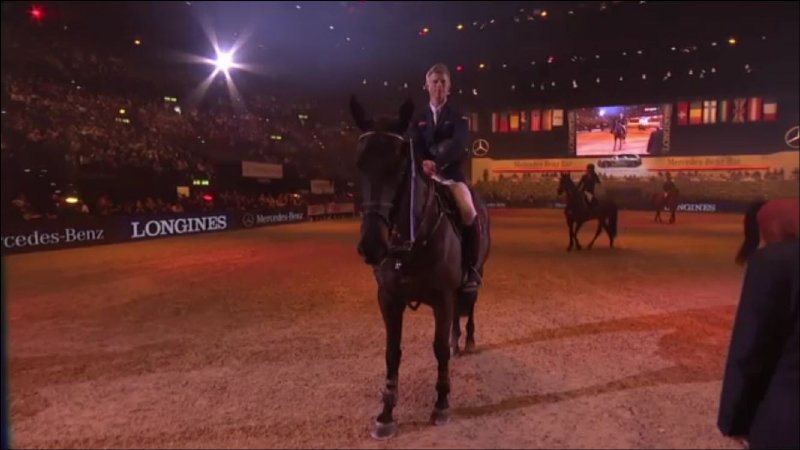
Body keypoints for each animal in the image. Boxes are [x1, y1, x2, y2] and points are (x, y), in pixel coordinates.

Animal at [350, 96, 488, 438]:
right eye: (359, 164)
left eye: (401, 166)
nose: (372, 246)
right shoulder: (389, 300)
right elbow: (392, 352)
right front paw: (386, 414)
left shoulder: (442, 299)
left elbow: (437, 348)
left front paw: (441, 404)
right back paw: (457, 342)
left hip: (472, 278)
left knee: (470, 307)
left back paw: (468, 340)